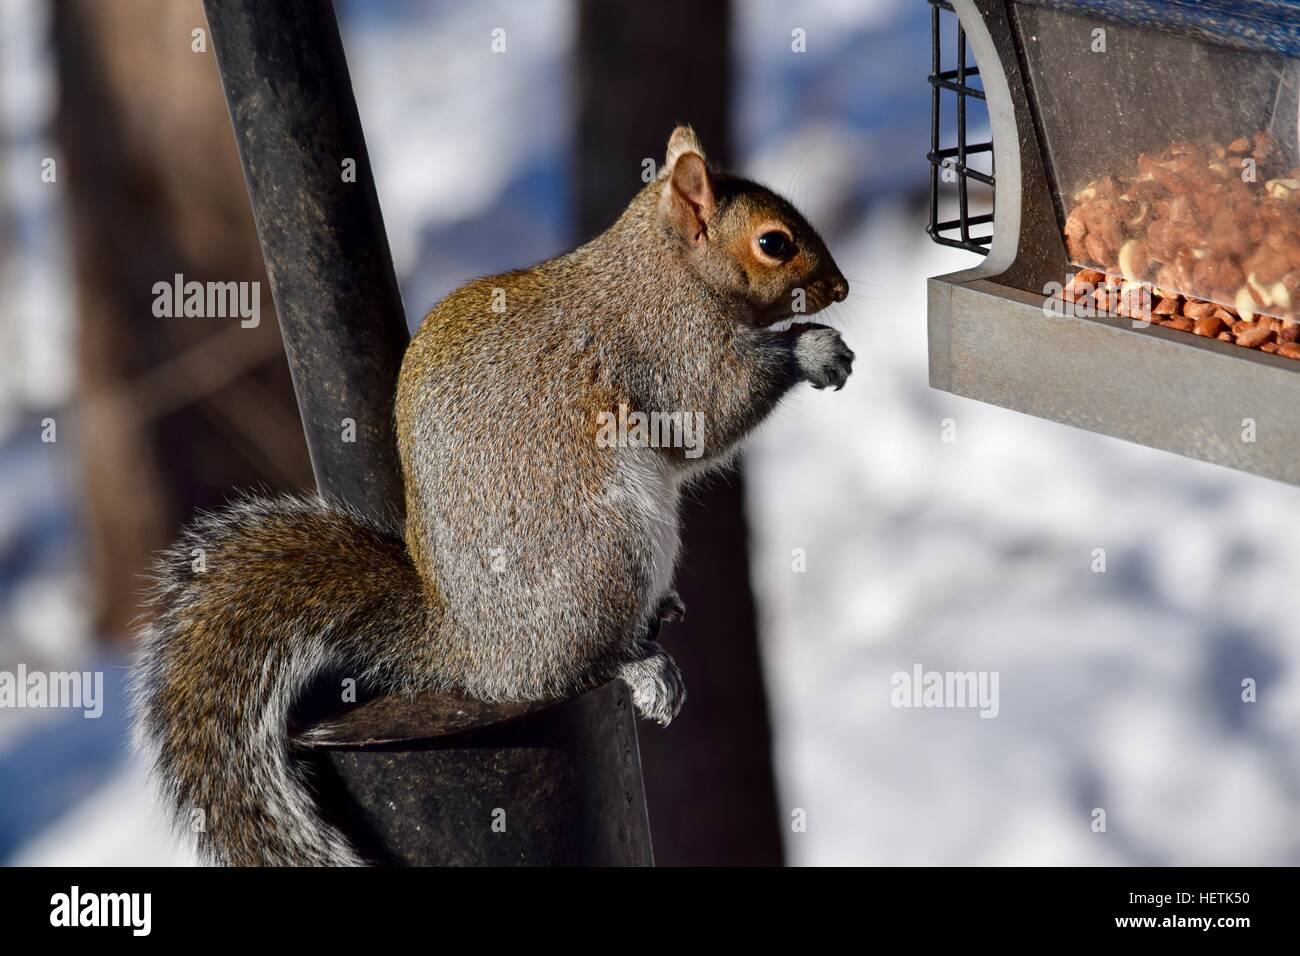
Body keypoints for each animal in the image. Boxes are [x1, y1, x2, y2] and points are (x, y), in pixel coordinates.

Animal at [130, 126, 852, 866]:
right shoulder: (667, 348)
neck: (664, 267)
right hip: (609, 549)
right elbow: (708, 412)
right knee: (573, 665)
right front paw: (809, 352)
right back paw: (639, 664)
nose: (841, 286)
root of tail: (470, 652)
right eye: (773, 243)